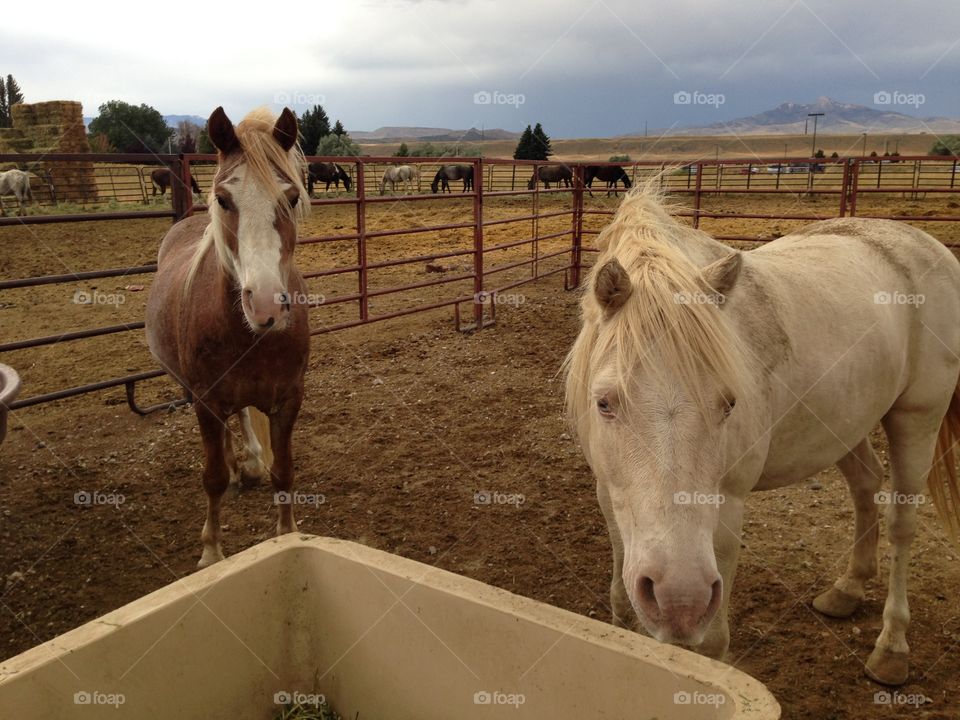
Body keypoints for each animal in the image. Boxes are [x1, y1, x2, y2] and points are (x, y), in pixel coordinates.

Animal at [144, 105, 310, 568]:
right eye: (223, 199)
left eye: (291, 198)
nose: (267, 305)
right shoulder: (205, 400)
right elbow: (213, 477)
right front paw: (212, 552)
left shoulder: (289, 398)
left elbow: (284, 471)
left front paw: (287, 535)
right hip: (193, 392)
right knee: (223, 439)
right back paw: (240, 468)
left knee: (242, 420)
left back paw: (250, 464)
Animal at [564, 180, 960, 688]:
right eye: (604, 403)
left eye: (730, 404)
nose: (680, 598)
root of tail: (931, 245)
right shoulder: (610, 496)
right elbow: (624, 605)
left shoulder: (726, 509)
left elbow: (711, 646)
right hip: (848, 420)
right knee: (865, 484)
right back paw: (847, 590)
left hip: (917, 417)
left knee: (903, 523)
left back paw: (891, 647)